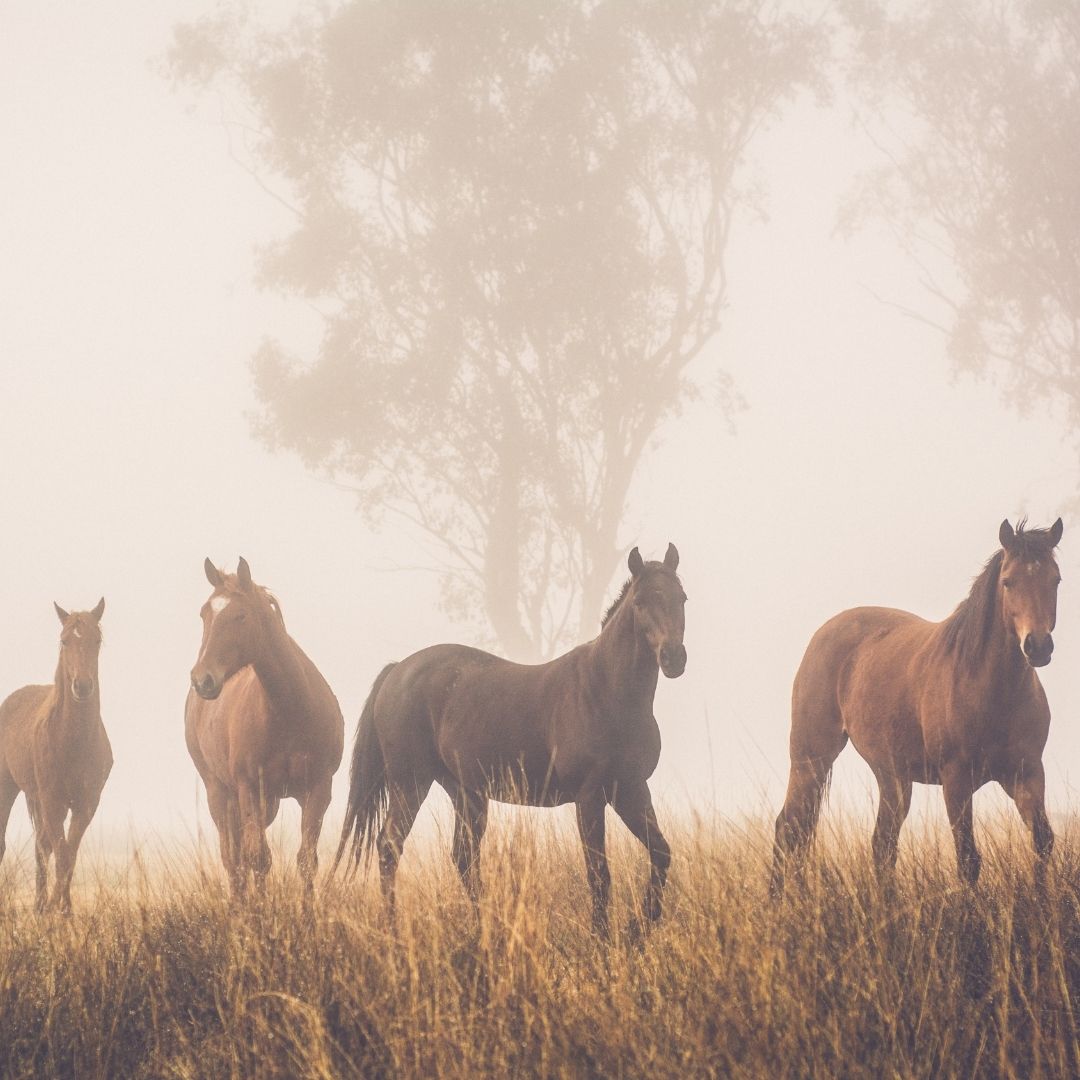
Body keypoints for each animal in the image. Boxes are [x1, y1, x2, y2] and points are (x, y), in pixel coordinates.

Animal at [0, 599, 111, 912]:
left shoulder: (87, 804)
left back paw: (39, 904)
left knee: (42, 847)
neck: (73, 742)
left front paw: (62, 908)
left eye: (97, 641)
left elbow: (68, 854)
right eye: (64, 641)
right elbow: (61, 852)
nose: (82, 686)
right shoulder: (53, 801)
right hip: (10, 790)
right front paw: (55, 909)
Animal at [186, 558, 344, 894]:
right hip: (220, 793)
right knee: (234, 861)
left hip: (268, 804)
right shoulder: (249, 789)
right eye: (205, 613)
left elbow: (306, 861)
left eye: (241, 615)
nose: (202, 679)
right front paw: (260, 910)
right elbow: (257, 858)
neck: (290, 712)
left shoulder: (317, 788)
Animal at [335, 543, 687, 937]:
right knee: (390, 847)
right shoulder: (591, 796)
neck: (607, 692)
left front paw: (638, 927)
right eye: (640, 602)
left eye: (682, 598)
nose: (674, 658)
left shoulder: (631, 790)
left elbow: (661, 853)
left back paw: (487, 929)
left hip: (465, 792)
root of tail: (398, 670)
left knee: (463, 857)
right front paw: (603, 936)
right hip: (410, 783)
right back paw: (394, 931)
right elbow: (599, 874)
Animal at [771, 518, 1063, 895]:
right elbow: (968, 860)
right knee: (788, 828)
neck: (991, 689)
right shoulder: (956, 780)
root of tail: (823, 634)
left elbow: (1042, 842)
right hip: (811, 759)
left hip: (891, 775)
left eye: (1055, 580)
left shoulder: (1026, 775)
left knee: (882, 845)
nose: (1038, 647)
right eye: (1008, 582)